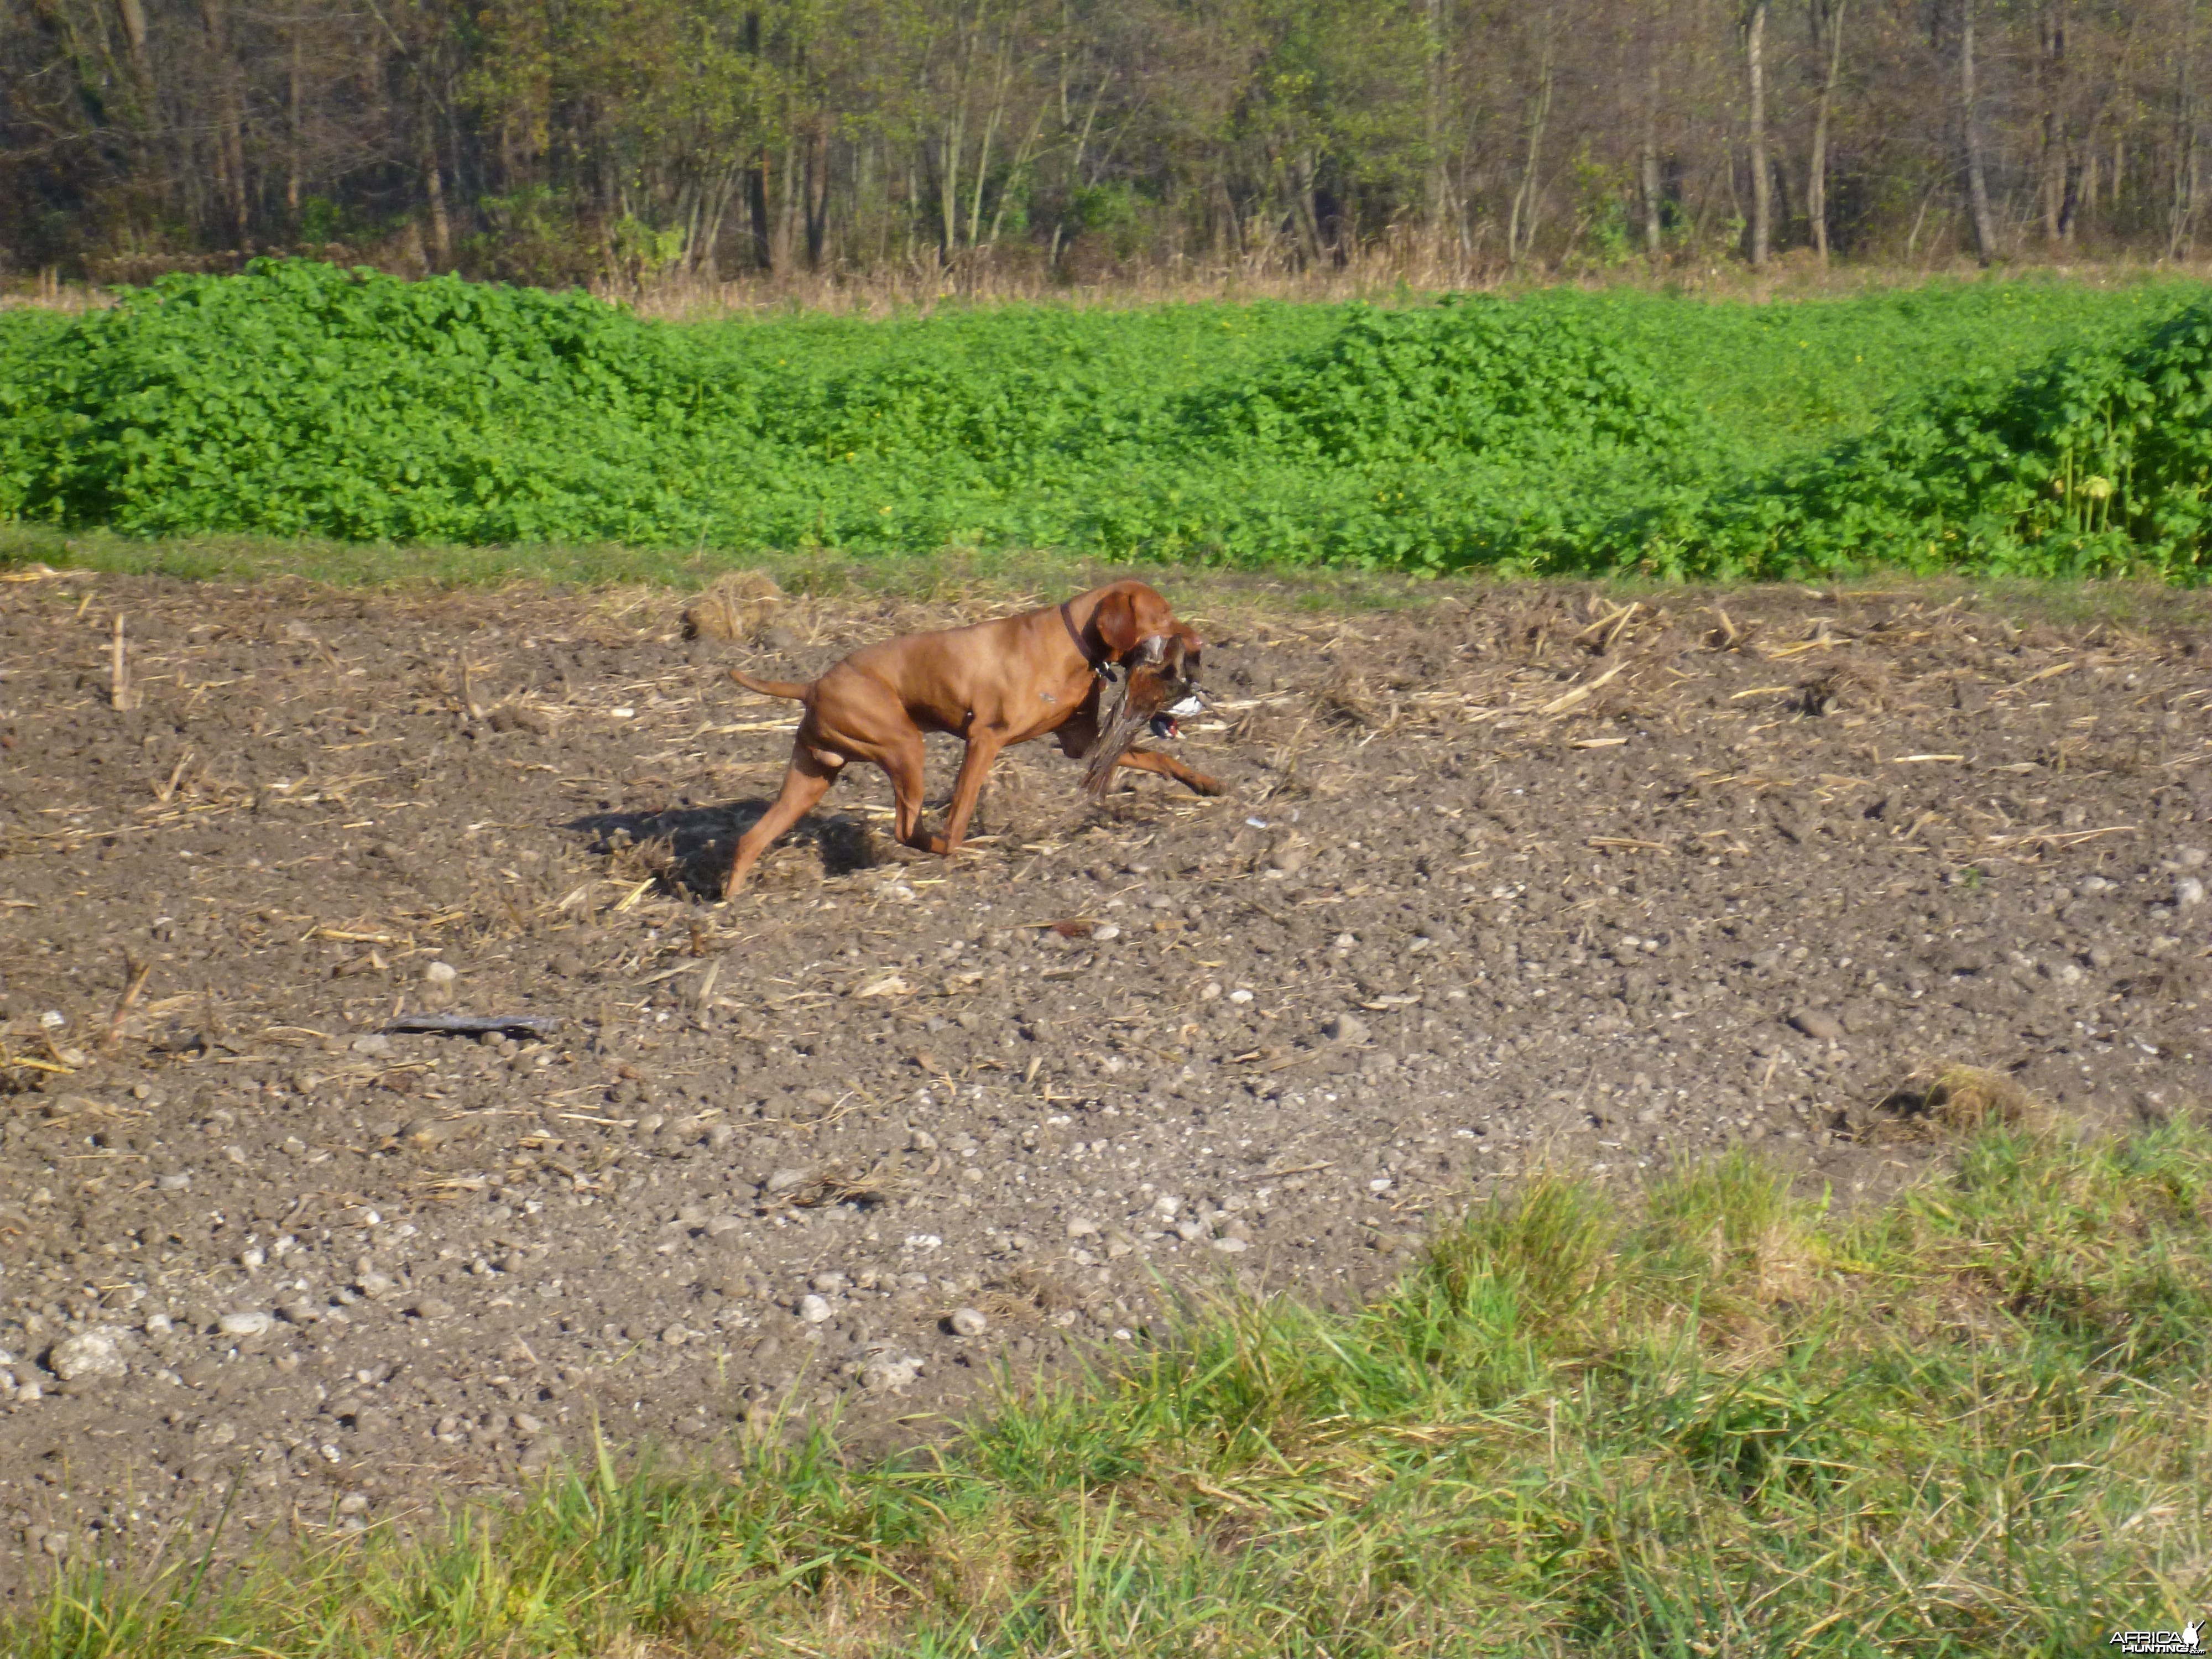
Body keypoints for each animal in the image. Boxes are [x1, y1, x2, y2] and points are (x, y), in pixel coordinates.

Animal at [721, 580, 1212, 902]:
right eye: (1162, 614)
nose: (1201, 641)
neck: (1073, 646)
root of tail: (812, 686)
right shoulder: (983, 739)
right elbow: (960, 809)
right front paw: (959, 847)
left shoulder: (1083, 743)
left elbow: (1153, 756)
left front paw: (1205, 783)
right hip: (905, 747)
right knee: (906, 828)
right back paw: (955, 850)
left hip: (812, 778)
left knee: (750, 839)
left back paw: (730, 900)